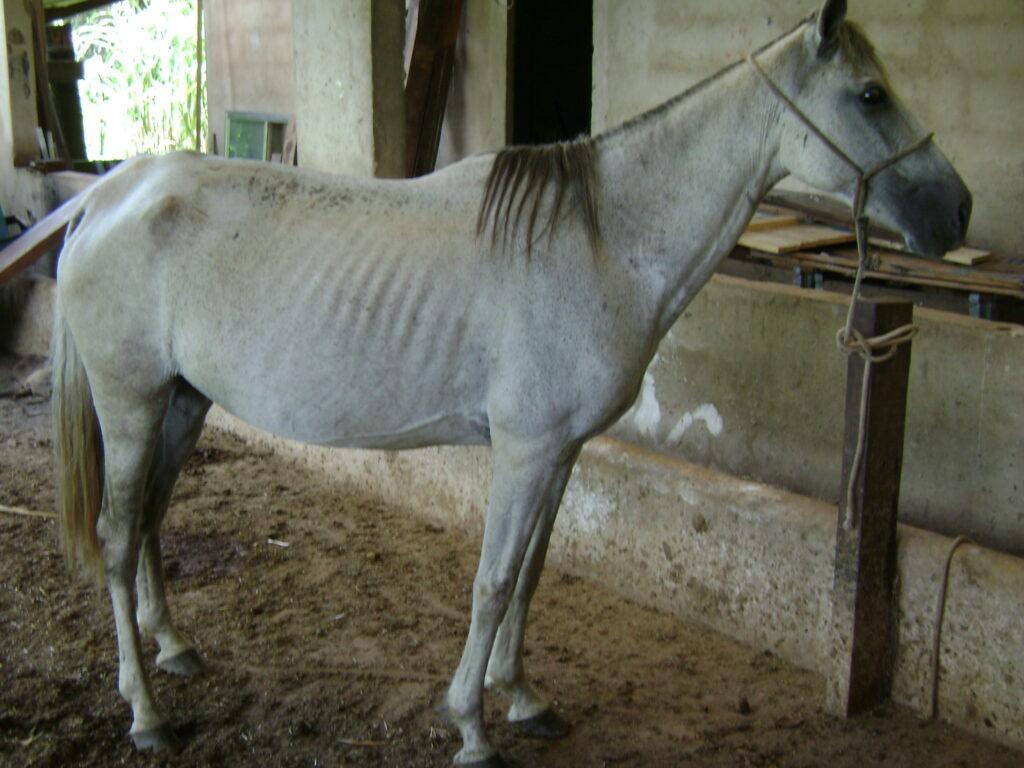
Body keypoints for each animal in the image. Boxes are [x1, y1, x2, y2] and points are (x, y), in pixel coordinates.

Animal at [51, 1, 970, 765]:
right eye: (870, 95)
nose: (955, 212)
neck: (601, 241)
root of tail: (111, 192)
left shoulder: (559, 453)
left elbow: (528, 575)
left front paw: (522, 697)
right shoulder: (523, 452)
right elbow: (492, 583)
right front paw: (471, 727)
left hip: (182, 402)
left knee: (153, 520)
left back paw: (175, 649)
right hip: (131, 405)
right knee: (118, 536)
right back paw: (146, 714)